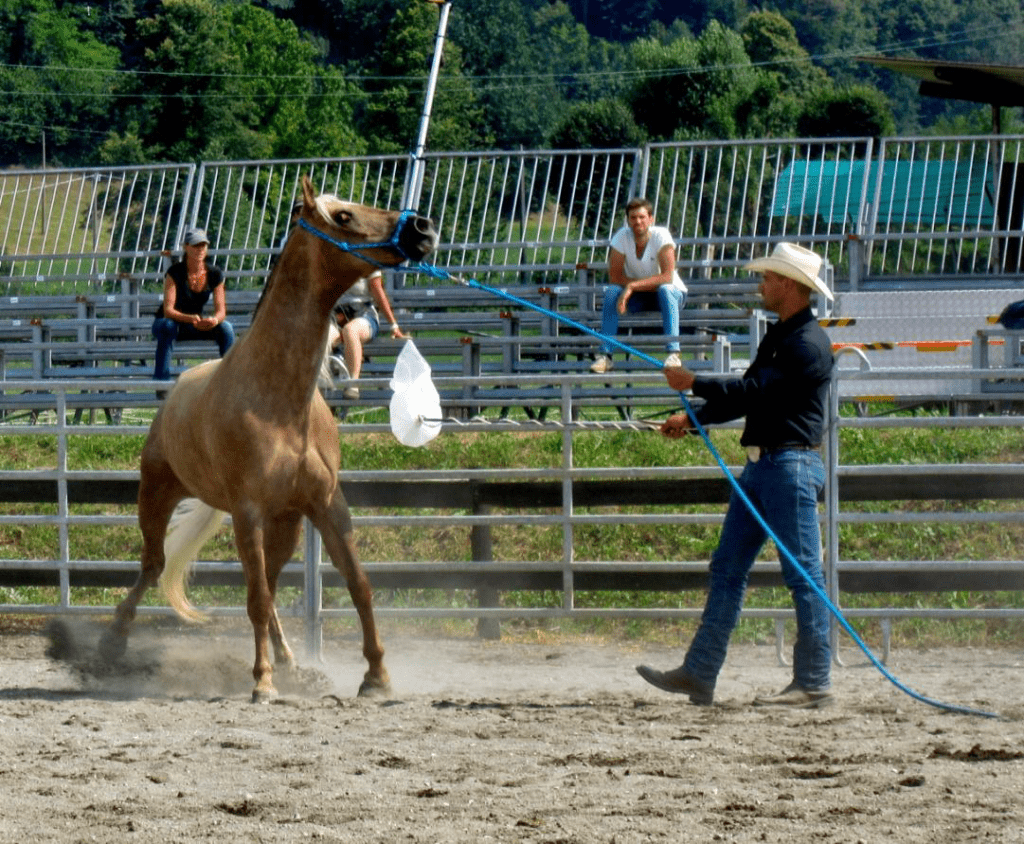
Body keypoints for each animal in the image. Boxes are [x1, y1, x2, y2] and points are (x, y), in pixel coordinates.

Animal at [99, 175, 440, 700]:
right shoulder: (248, 511)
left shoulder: (325, 504)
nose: (422, 227)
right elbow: (255, 597)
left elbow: (357, 585)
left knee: (272, 583)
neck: (280, 401)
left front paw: (376, 676)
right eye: (342, 215)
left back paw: (290, 659)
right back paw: (112, 642)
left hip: (286, 523)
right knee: (155, 566)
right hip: (156, 495)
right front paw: (261, 682)